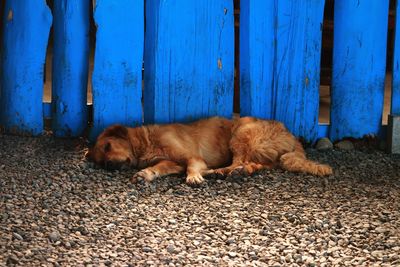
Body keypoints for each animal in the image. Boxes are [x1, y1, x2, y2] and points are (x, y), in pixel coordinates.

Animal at [86, 118, 332, 185]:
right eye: (99, 160)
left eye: (108, 146)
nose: (108, 165)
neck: (146, 142)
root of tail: (291, 135)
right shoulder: (171, 162)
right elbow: (157, 168)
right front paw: (145, 174)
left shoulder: (190, 157)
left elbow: (192, 166)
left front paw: (194, 176)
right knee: (253, 165)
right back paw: (238, 172)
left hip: (241, 133)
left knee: (239, 161)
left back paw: (220, 172)